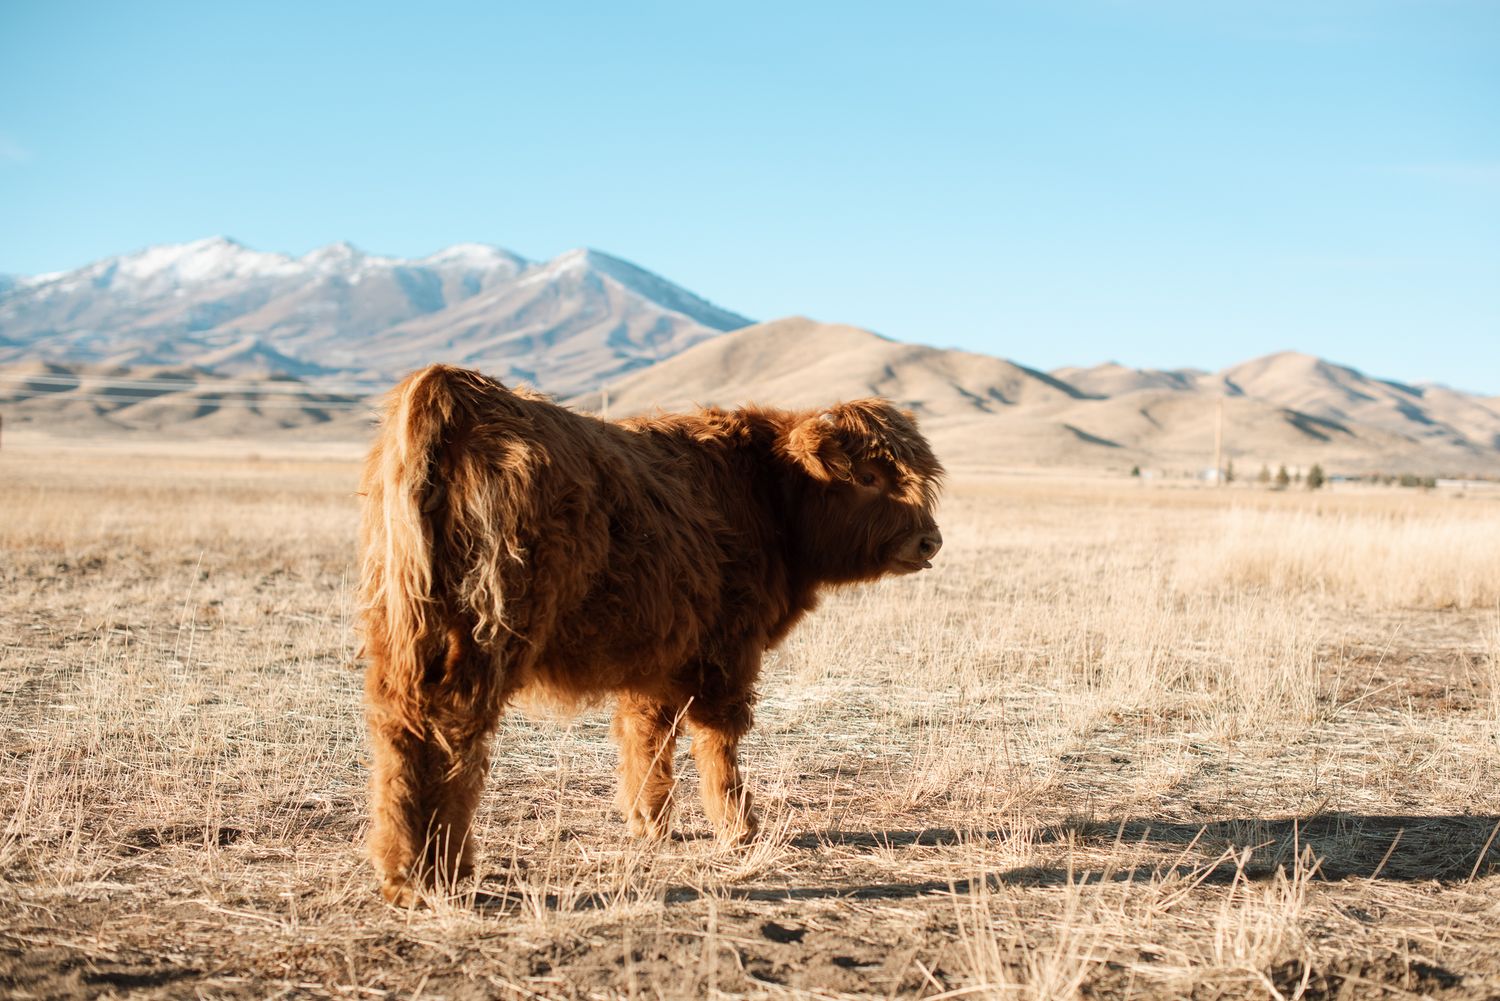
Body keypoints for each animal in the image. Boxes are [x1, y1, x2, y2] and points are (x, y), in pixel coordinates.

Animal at [358, 364, 944, 904]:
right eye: (868, 478)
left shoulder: (658, 655)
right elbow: (718, 739)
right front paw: (738, 829)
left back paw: (400, 869)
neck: (766, 496)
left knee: (398, 729)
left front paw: (650, 823)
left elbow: (646, 733)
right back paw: (434, 872)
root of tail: (453, 386)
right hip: (482, 626)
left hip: (404, 626)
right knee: (450, 730)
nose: (929, 541)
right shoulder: (727, 649)